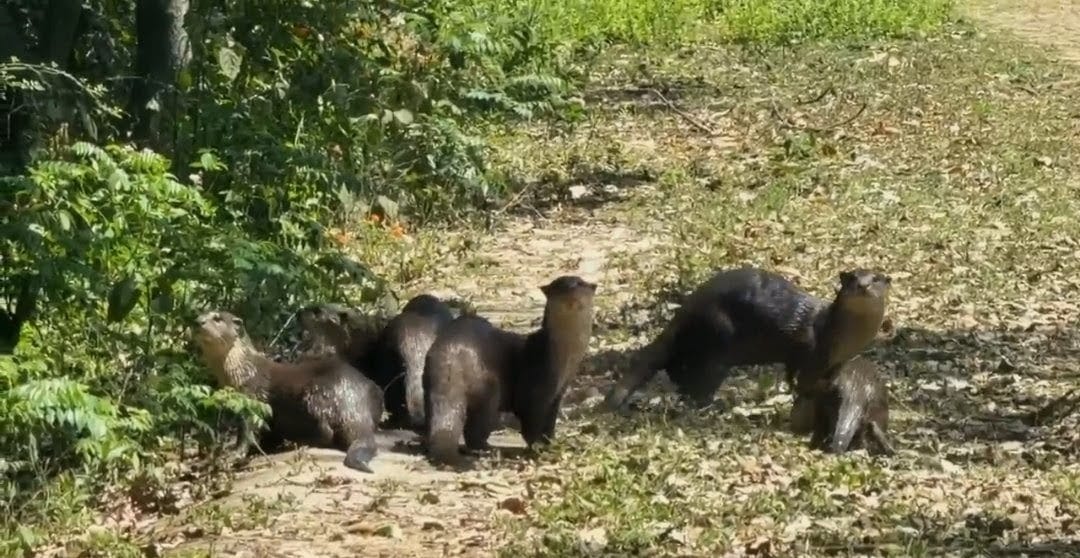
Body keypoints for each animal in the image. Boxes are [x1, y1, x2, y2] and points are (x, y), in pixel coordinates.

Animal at [192, 310, 384, 473]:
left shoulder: (251, 399)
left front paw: (234, 454)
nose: (198, 321)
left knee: (326, 433)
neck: (245, 369)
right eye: (200, 314)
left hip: (314, 397)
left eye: (217, 318)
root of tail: (353, 401)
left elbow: (247, 431)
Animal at [423, 276, 596, 466]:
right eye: (560, 285)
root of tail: (450, 353)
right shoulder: (535, 387)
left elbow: (549, 422)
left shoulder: (558, 393)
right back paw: (487, 448)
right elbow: (532, 421)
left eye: (580, 283)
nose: (570, 287)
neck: (562, 359)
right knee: (476, 429)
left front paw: (550, 442)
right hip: (488, 387)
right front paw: (537, 447)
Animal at [605, 266, 891, 410]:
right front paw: (814, 391)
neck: (842, 337)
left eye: (876, 278)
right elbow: (804, 380)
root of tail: (685, 309)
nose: (863, 285)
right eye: (852, 278)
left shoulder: (836, 361)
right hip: (718, 330)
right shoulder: (813, 351)